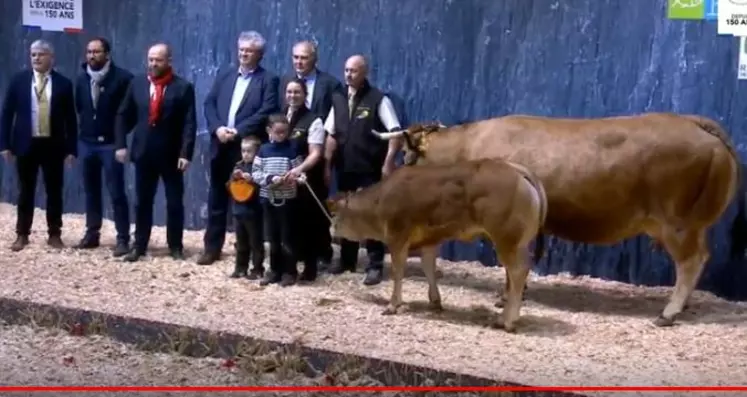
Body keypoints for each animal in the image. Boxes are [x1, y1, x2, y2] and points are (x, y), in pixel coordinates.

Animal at [328, 158, 548, 332]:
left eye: (336, 215)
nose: (332, 231)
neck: (379, 201)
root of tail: (516, 169)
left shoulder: (397, 237)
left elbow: (398, 272)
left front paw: (392, 305)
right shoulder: (429, 240)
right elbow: (428, 267)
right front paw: (435, 301)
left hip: (506, 239)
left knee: (517, 271)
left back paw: (507, 321)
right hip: (518, 242)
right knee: (517, 272)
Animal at [374, 110, 744, 324]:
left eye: (406, 156)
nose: (393, 175)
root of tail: (694, 122)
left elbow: (512, 265)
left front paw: (506, 299)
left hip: (676, 223)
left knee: (691, 261)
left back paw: (668, 312)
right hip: (692, 224)